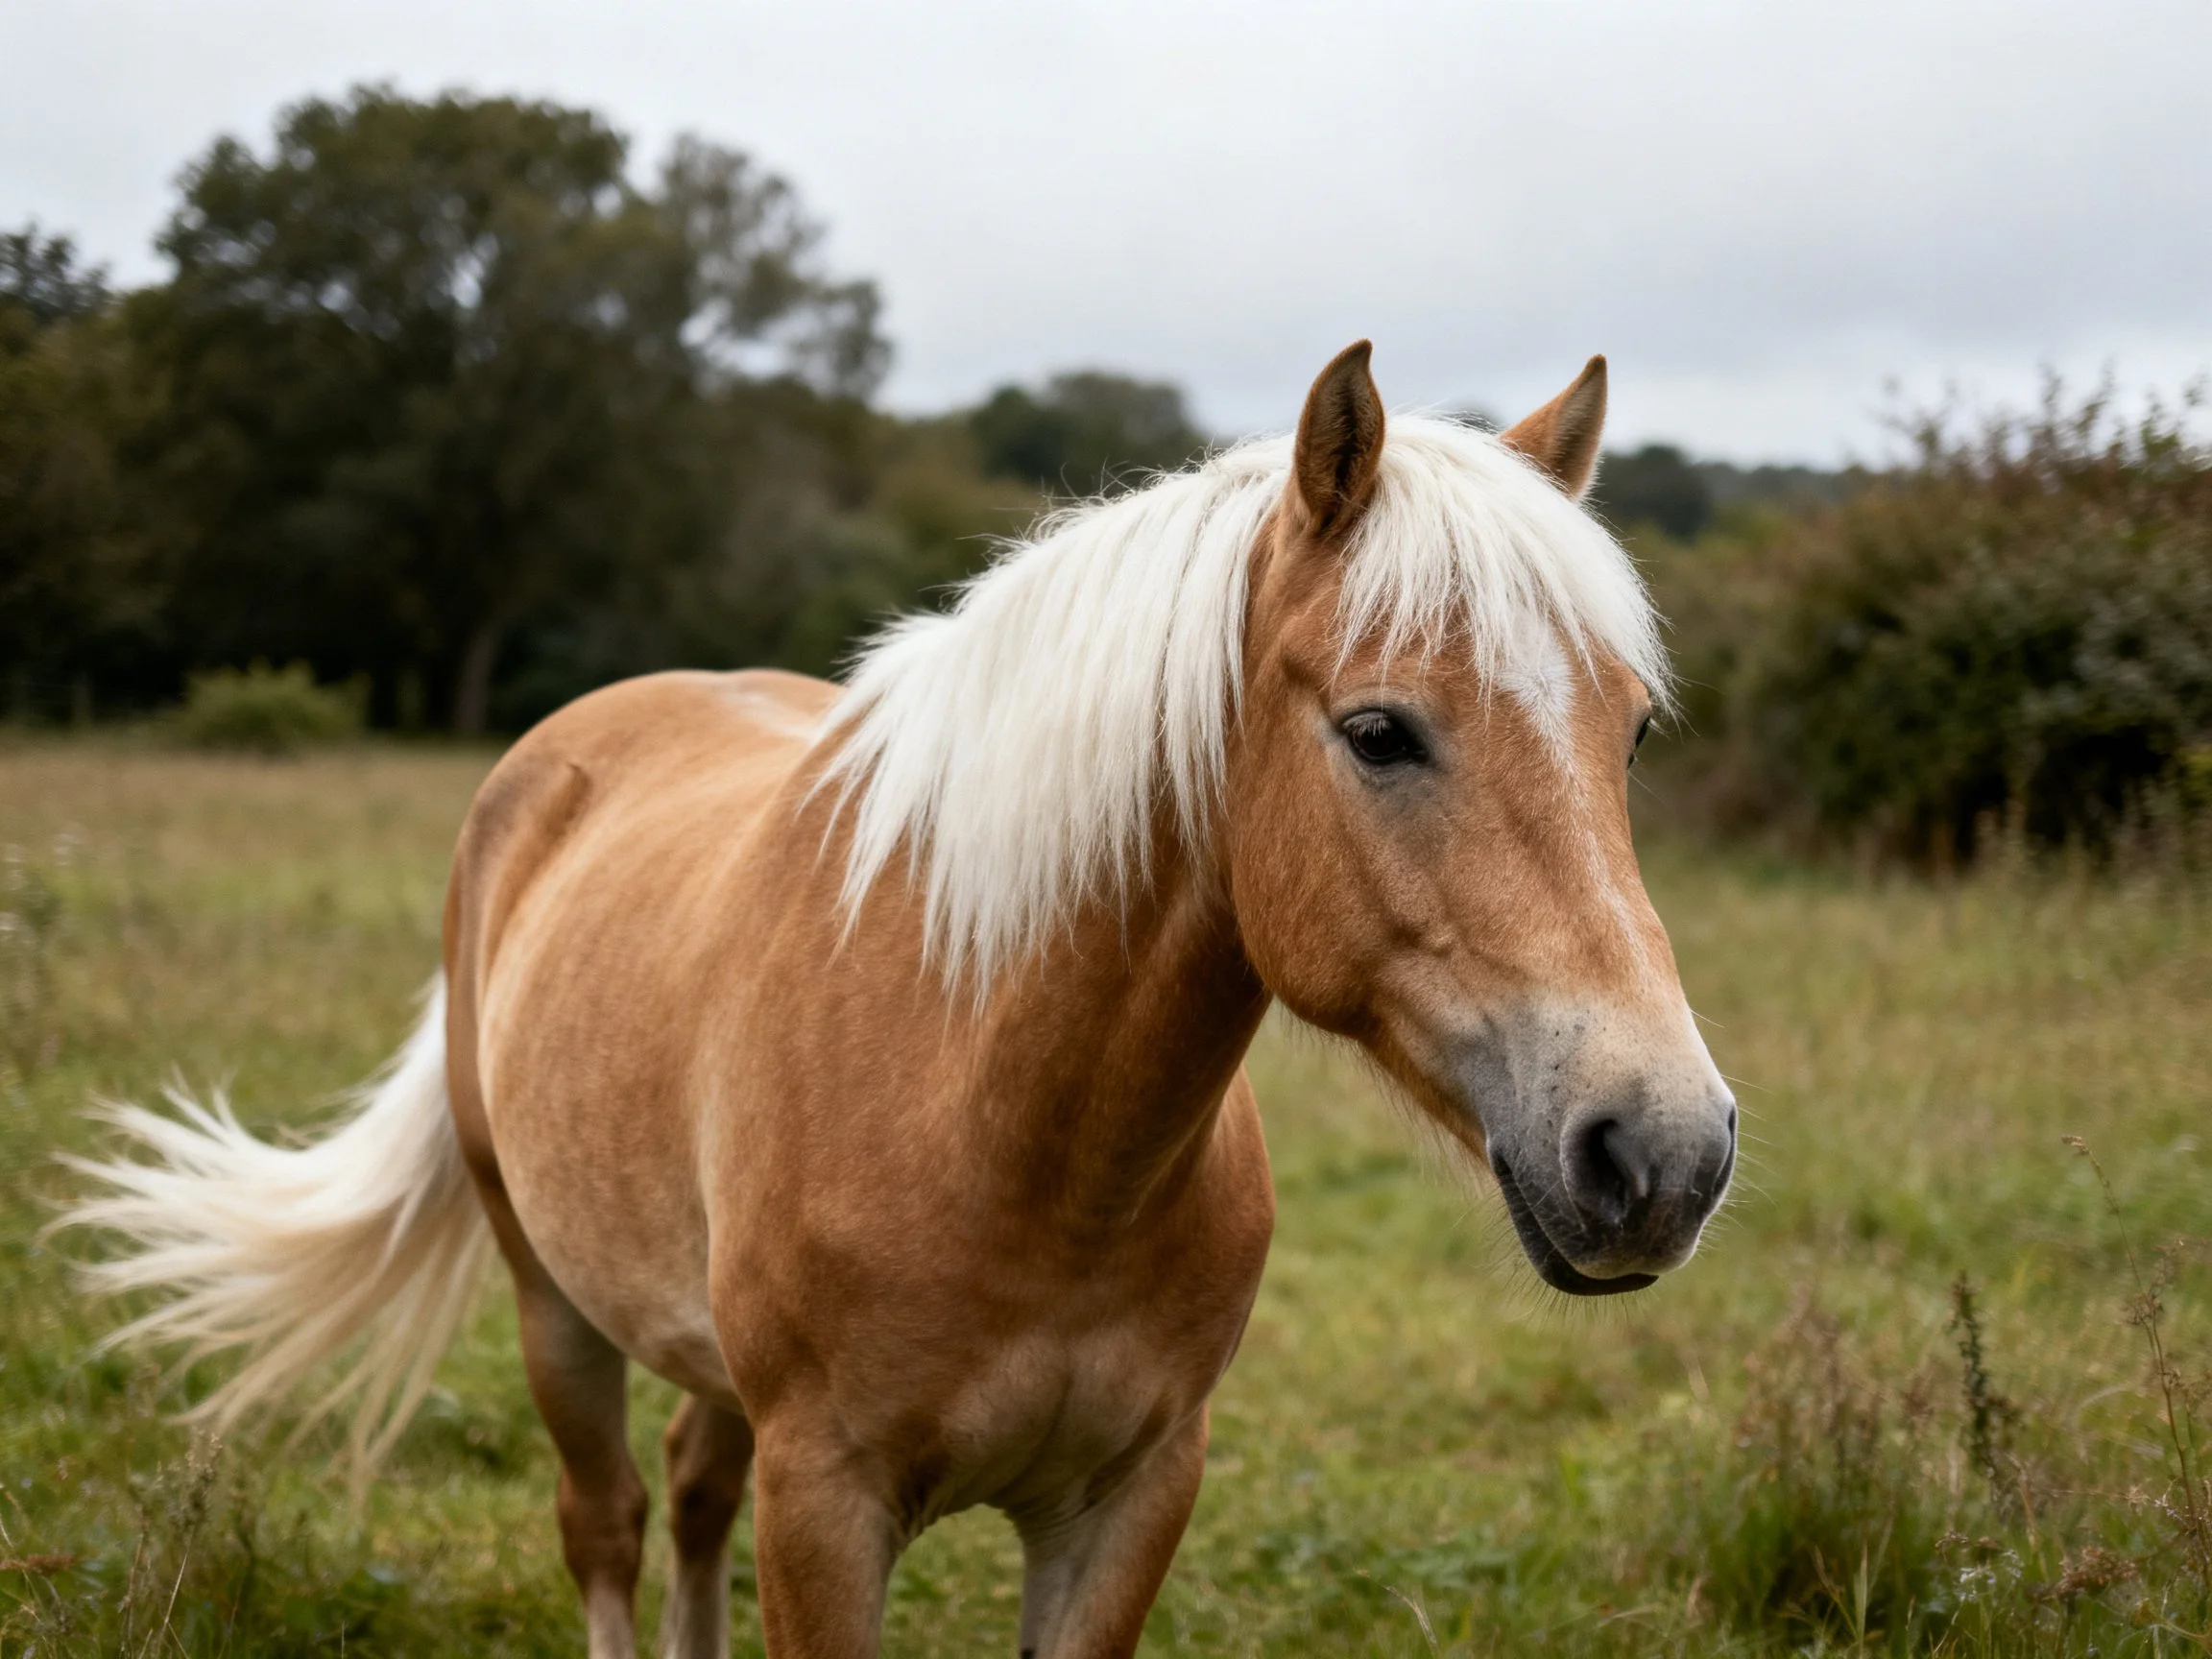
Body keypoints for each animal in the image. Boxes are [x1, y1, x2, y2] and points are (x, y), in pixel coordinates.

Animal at [69, 341, 1736, 1657]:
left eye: (1633, 735)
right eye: (1381, 732)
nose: (1662, 1151)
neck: (1009, 1125)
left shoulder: (1128, 1505)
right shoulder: (828, 1507)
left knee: (691, 1496)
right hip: (551, 1299)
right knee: (608, 1524)